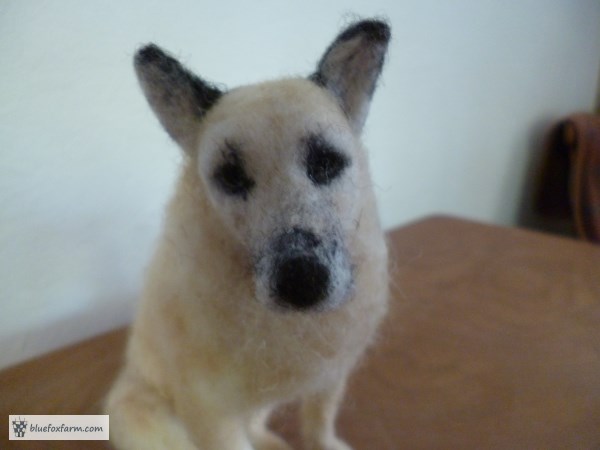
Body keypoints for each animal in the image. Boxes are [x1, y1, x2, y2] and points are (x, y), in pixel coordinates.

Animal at [106, 18, 392, 450]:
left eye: (326, 162)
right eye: (230, 176)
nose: (301, 279)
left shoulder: (330, 376)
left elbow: (320, 421)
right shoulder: (211, 414)